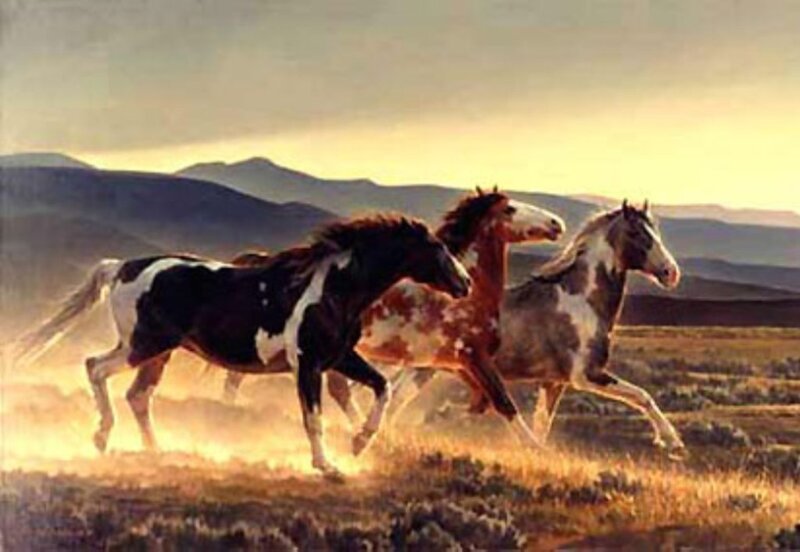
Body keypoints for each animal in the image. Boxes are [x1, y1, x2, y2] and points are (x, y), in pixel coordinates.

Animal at [12, 215, 472, 479]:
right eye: (438, 248)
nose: (465, 283)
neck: (334, 288)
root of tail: (123, 266)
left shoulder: (339, 357)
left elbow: (382, 387)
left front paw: (359, 443)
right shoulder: (308, 364)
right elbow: (314, 418)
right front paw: (327, 465)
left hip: (158, 352)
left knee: (138, 394)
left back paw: (155, 450)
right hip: (142, 344)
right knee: (95, 367)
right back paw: (101, 436)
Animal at [222, 188, 566, 451]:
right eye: (510, 209)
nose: (556, 223)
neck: (470, 293)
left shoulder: (444, 362)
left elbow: (472, 400)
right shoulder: (470, 355)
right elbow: (502, 400)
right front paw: (537, 448)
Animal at [343, 201, 687, 456]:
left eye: (655, 232)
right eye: (639, 234)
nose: (671, 273)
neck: (581, 301)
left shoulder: (554, 382)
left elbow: (543, 425)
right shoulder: (586, 375)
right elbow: (642, 396)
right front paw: (672, 442)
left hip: (422, 368)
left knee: (392, 398)